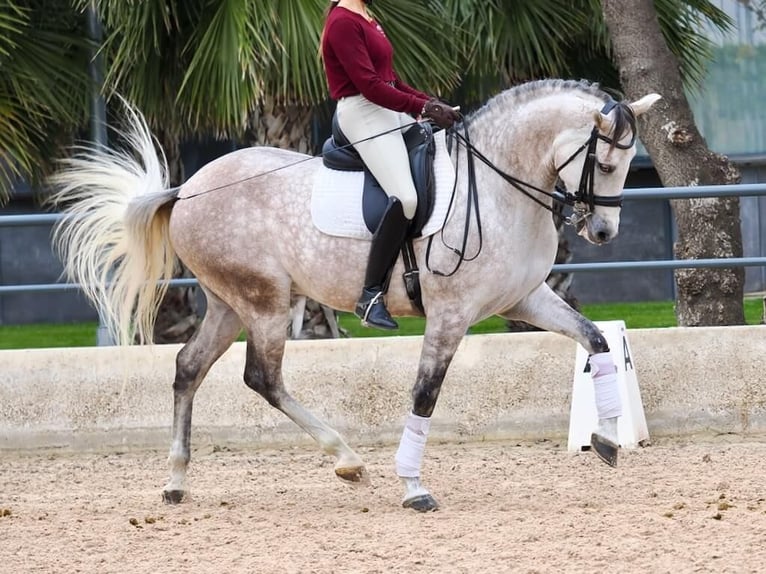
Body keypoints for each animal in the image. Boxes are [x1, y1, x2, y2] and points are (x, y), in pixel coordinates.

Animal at [49, 77, 660, 512]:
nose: (602, 232)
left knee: (188, 368)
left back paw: (178, 481)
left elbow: (597, 343)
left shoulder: (523, 300)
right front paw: (413, 487)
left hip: (229, 304)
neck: (495, 183)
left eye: (630, 162)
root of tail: (189, 187)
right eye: (605, 162)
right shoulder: (452, 314)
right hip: (266, 304)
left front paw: (607, 437)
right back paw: (345, 459)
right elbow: (424, 395)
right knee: (262, 378)